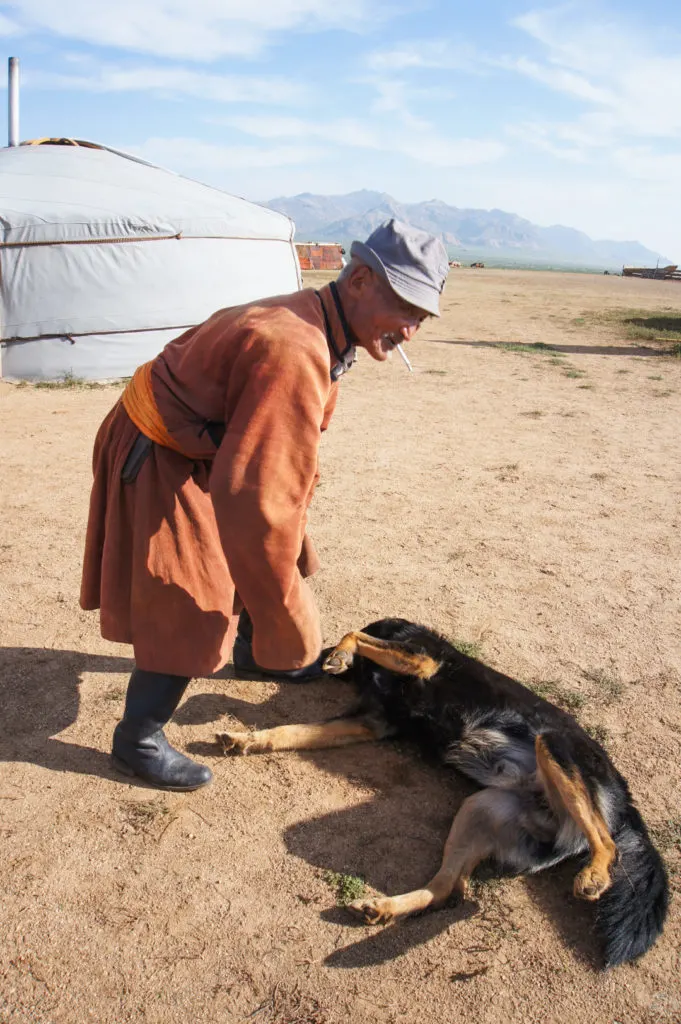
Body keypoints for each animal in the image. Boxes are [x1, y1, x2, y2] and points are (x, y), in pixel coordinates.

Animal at [218, 614, 667, 966]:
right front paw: (247, 740)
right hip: (479, 808)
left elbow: (356, 633)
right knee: (450, 892)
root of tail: (626, 802)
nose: (313, 659)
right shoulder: (371, 722)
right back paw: (382, 909)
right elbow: (290, 730)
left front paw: (341, 653)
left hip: (554, 747)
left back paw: (594, 876)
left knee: (606, 842)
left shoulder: (421, 660)